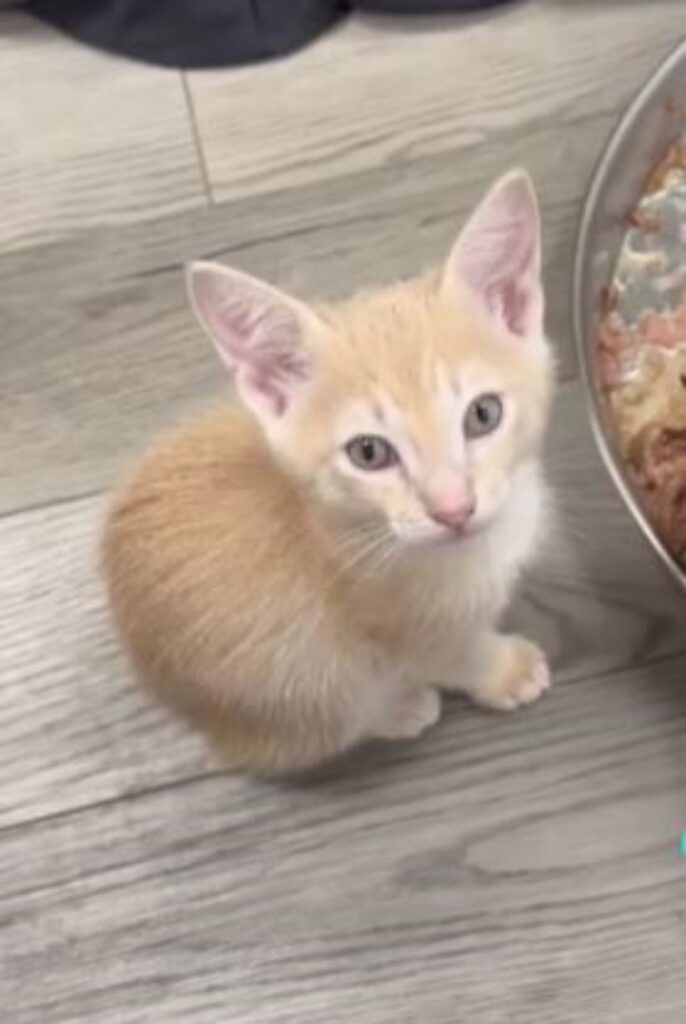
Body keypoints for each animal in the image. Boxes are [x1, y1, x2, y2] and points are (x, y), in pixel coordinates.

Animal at [102, 169, 556, 774]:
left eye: (484, 415)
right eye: (368, 453)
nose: (454, 509)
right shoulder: (397, 625)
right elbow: (454, 652)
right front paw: (502, 670)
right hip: (294, 686)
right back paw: (400, 709)